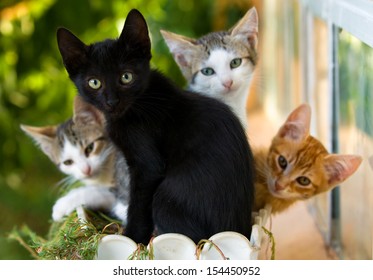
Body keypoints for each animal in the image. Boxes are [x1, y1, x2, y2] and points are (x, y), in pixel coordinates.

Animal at [56, 9, 254, 245]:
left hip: (164, 199)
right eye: (94, 82)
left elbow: (138, 204)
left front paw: (131, 240)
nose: (112, 102)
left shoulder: (147, 166)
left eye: (126, 77)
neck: (140, 100)